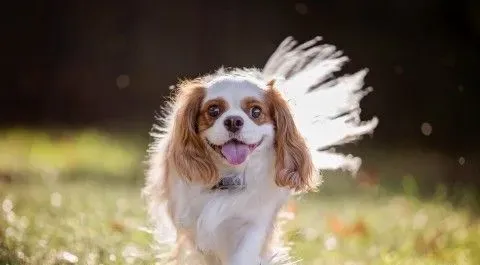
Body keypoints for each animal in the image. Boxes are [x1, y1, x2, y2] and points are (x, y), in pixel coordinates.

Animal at [142, 36, 378, 264]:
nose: (234, 121)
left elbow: (243, 255)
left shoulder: (255, 224)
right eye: (214, 110)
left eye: (256, 111)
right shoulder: (193, 229)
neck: (230, 178)